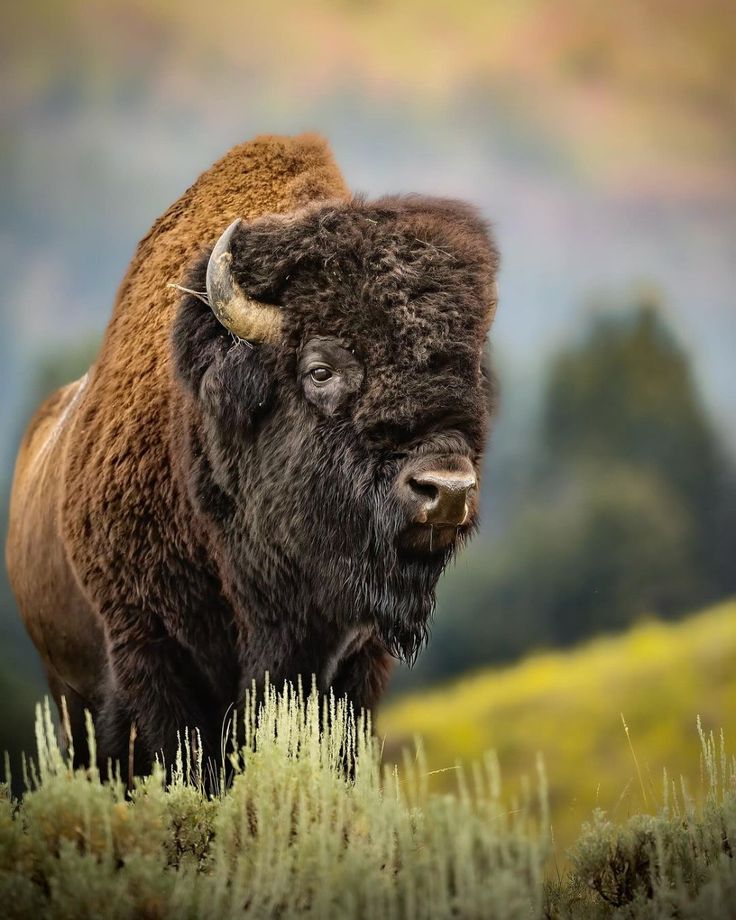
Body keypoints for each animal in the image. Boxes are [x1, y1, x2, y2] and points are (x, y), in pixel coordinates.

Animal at [5, 135, 498, 776]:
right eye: (320, 369)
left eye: (472, 374)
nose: (446, 489)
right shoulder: (146, 653)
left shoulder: (354, 660)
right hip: (67, 692)